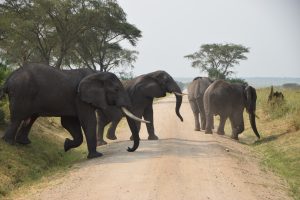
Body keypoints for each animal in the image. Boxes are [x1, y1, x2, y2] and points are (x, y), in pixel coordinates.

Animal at [0, 63, 146, 159]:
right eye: (116, 90)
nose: (128, 148)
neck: (96, 73)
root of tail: (7, 80)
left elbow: (69, 123)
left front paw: (66, 145)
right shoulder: (80, 98)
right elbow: (88, 121)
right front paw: (96, 156)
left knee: (30, 118)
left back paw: (24, 142)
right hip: (22, 93)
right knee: (18, 117)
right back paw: (9, 142)